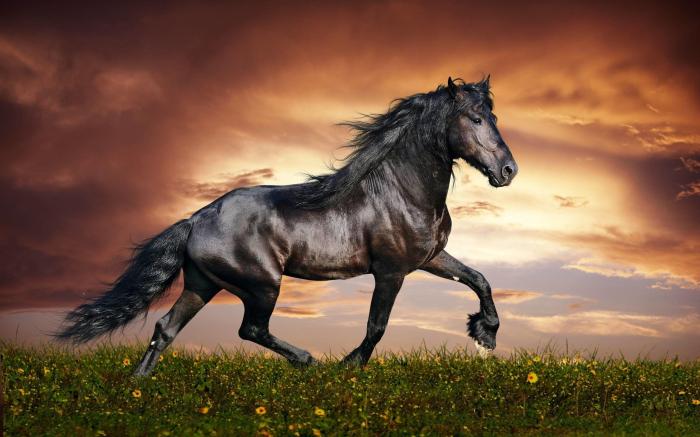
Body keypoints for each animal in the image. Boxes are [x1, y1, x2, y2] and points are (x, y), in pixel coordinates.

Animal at [56, 76, 518, 376]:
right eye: (475, 119)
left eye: (493, 117)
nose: (508, 171)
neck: (401, 190)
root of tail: (195, 219)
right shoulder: (391, 271)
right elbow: (377, 325)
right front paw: (349, 366)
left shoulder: (430, 257)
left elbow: (479, 279)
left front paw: (485, 334)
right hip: (262, 284)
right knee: (251, 329)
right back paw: (307, 360)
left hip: (202, 284)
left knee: (165, 328)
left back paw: (138, 386)